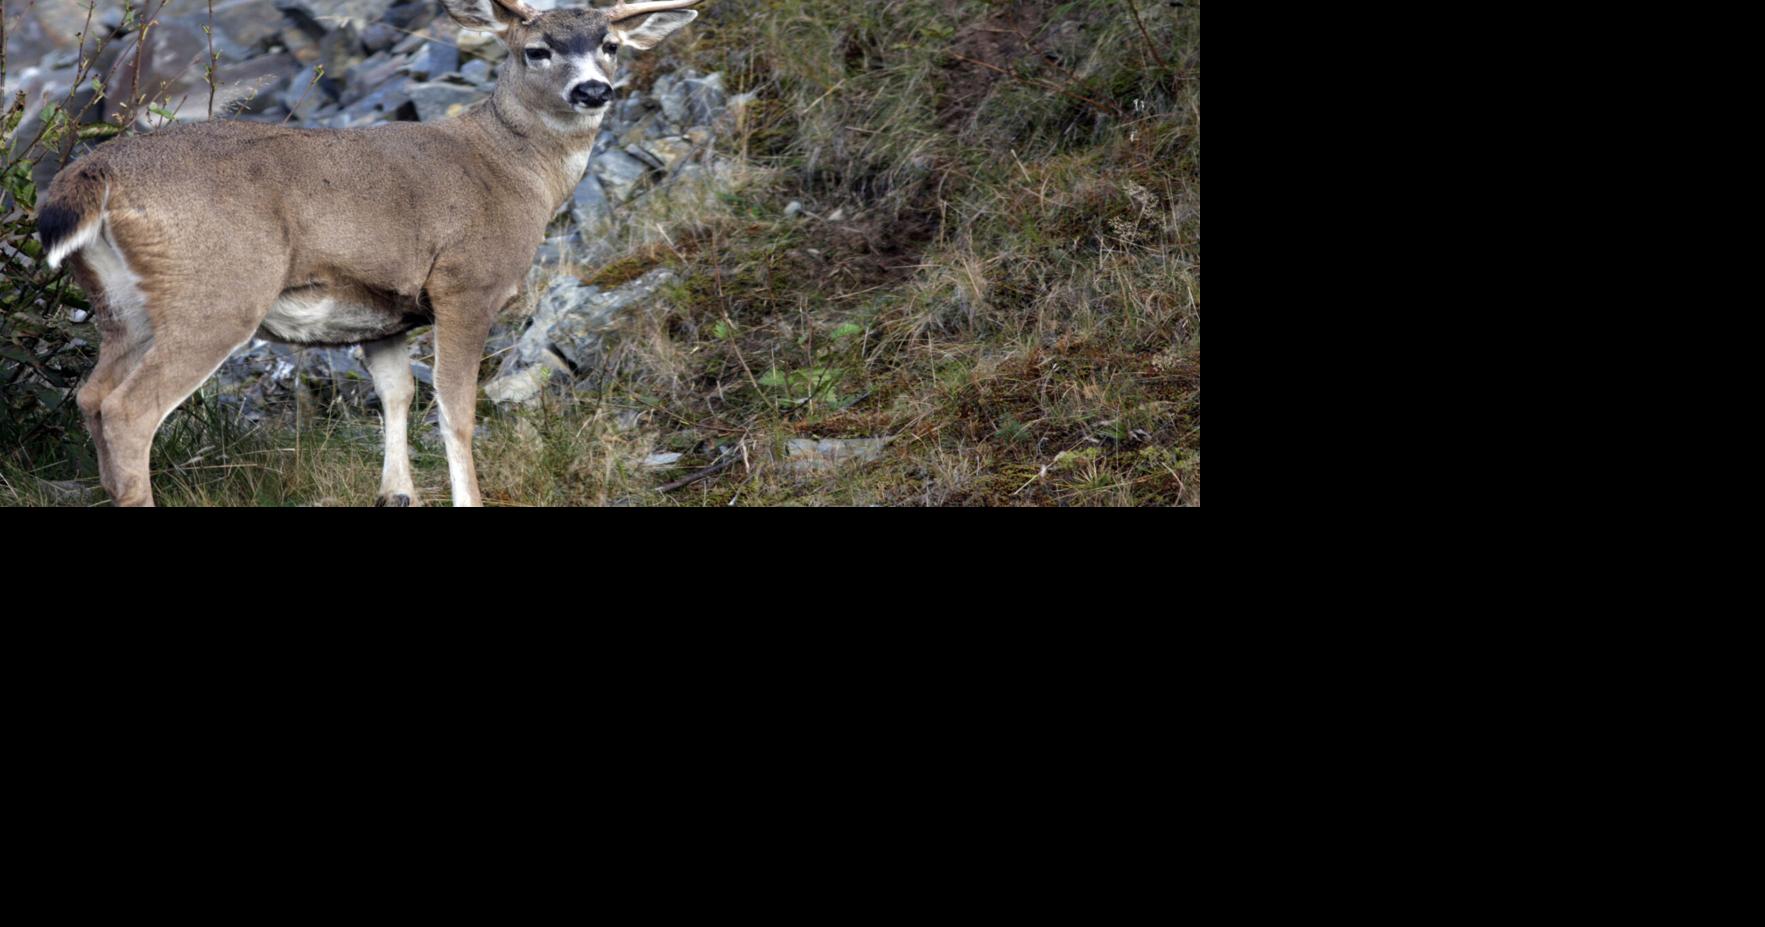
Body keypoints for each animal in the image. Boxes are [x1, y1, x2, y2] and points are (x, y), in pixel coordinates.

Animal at [35, 0, 703, 506]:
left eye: (610, 44)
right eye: (536, 49)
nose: (594, 89)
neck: (511, 171)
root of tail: (93, 173)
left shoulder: (384, 313)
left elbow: (397, 395)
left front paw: (396, 493)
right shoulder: (466, 284)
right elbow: (456, 409)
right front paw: (466, 498)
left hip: (123, 305)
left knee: (91, 396)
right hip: (219, 292)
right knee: (129, 410)